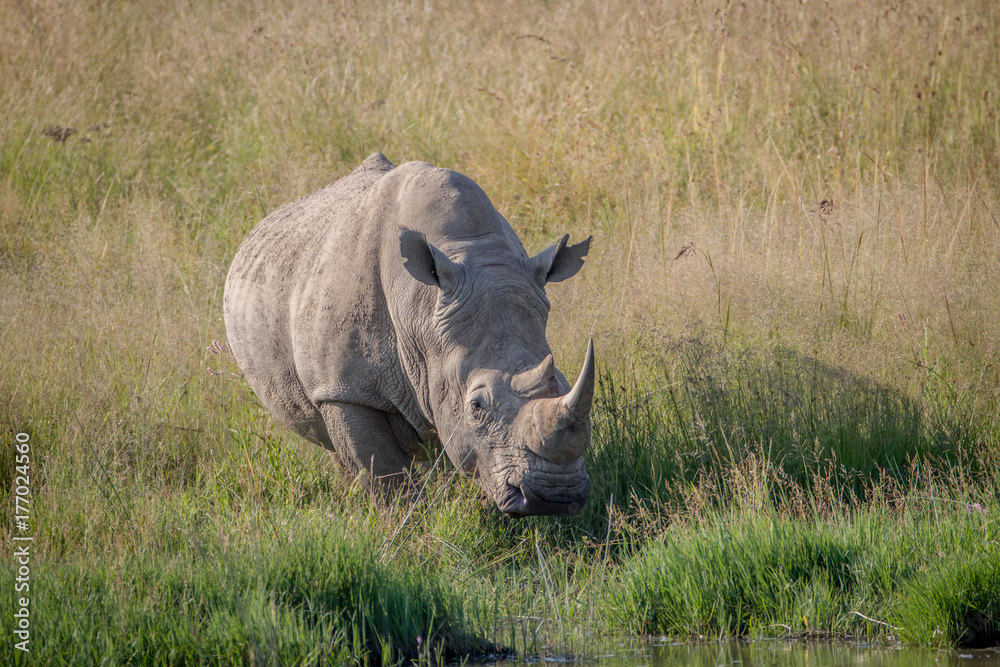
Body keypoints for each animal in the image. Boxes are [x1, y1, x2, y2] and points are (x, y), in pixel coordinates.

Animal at [223, 153, 594, 516]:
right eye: (476, 406)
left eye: (563, 383)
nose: (554, 497)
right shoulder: (345, 389)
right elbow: (384, 475)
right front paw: (409, 526)